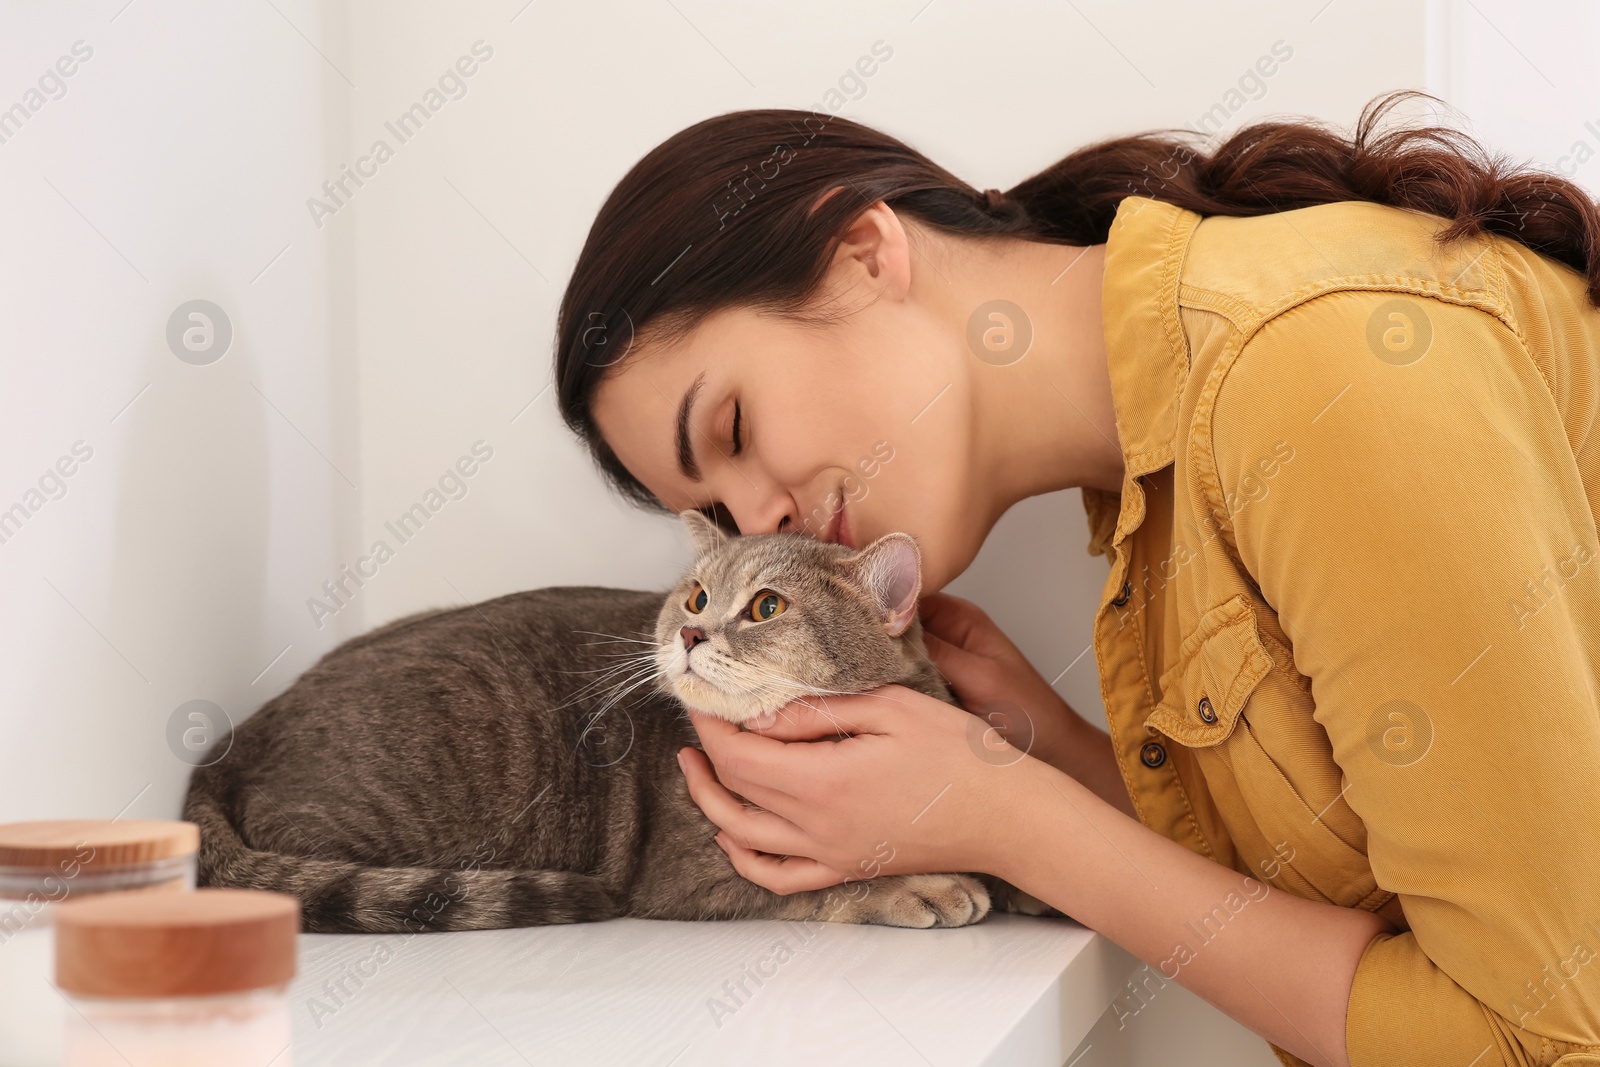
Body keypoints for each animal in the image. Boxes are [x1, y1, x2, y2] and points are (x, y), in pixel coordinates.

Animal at [184, 511, 1049, 934]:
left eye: (767, 606)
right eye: (696, 596)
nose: (690, 633)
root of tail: (235, 737)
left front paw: (1019, 879)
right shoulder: (692, 872)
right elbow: (829, 879)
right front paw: (923, 884)